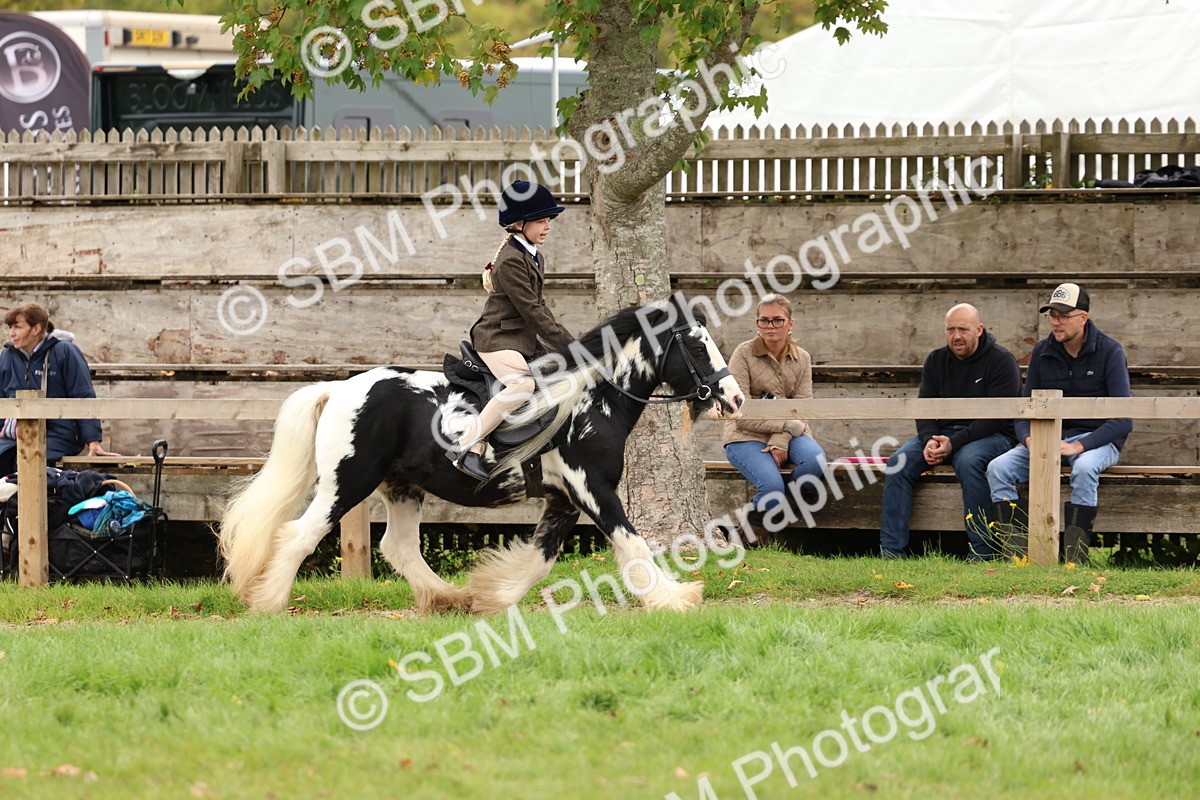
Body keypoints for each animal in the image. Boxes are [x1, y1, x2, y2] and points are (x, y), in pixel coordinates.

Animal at [217, 296, 745, 614]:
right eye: (698, 345)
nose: (735, 398)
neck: (589, 398)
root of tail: (339, 389)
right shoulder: (591, 489)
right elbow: (632, 543)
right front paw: (676, 598)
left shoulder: (563, 499)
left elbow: (540, 558)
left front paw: (492, 595)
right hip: (347, 483)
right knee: (299, 535)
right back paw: (268, 603)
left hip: (402, 487)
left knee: (399, 547)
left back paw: (448, 598)